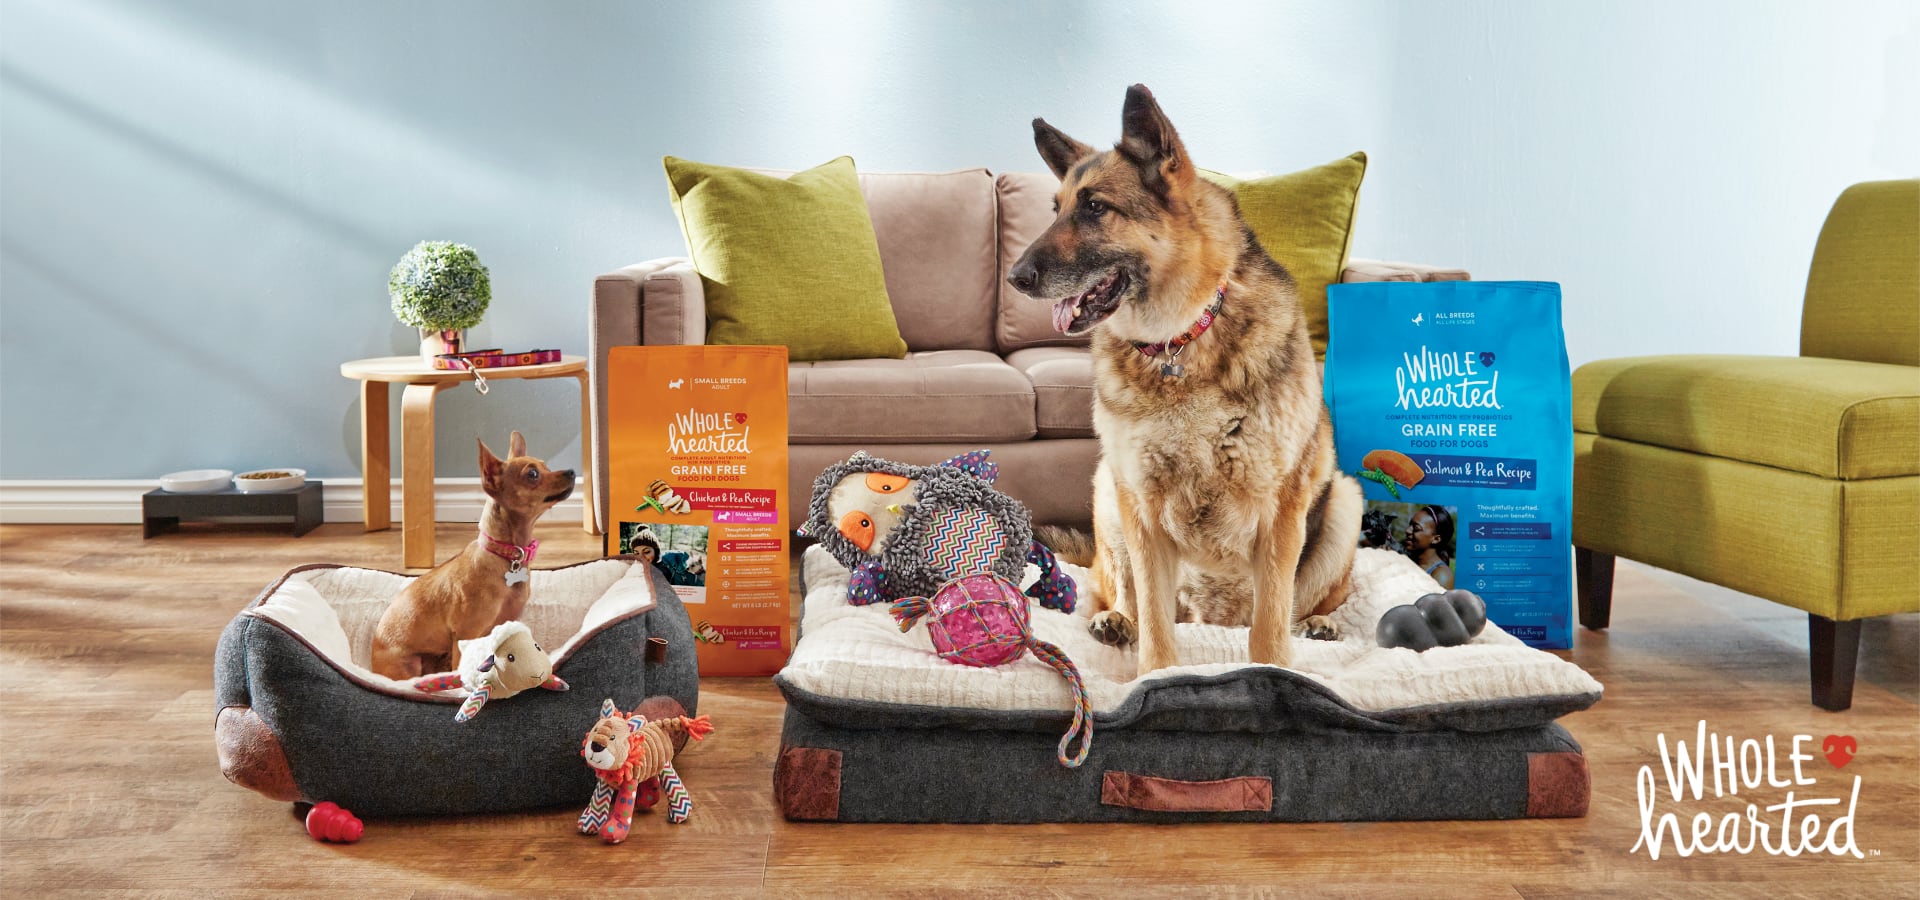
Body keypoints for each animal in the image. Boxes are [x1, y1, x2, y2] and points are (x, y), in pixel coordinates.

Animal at [1013, 85, 1359, 675]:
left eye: (1096, 207)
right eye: (1055, 210)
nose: (1016, 276)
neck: (1179, 343)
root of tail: (1212, 617)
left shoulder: (1281, 513)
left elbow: (1270, 628)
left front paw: (1275, 674)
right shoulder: (1143, 510)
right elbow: (1155, 621)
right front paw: (1154, 677)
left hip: (1344, 503)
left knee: (1302, 604)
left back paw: (1319, 624)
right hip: (1109, 492)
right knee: (1116, 593)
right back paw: (1115, 620)